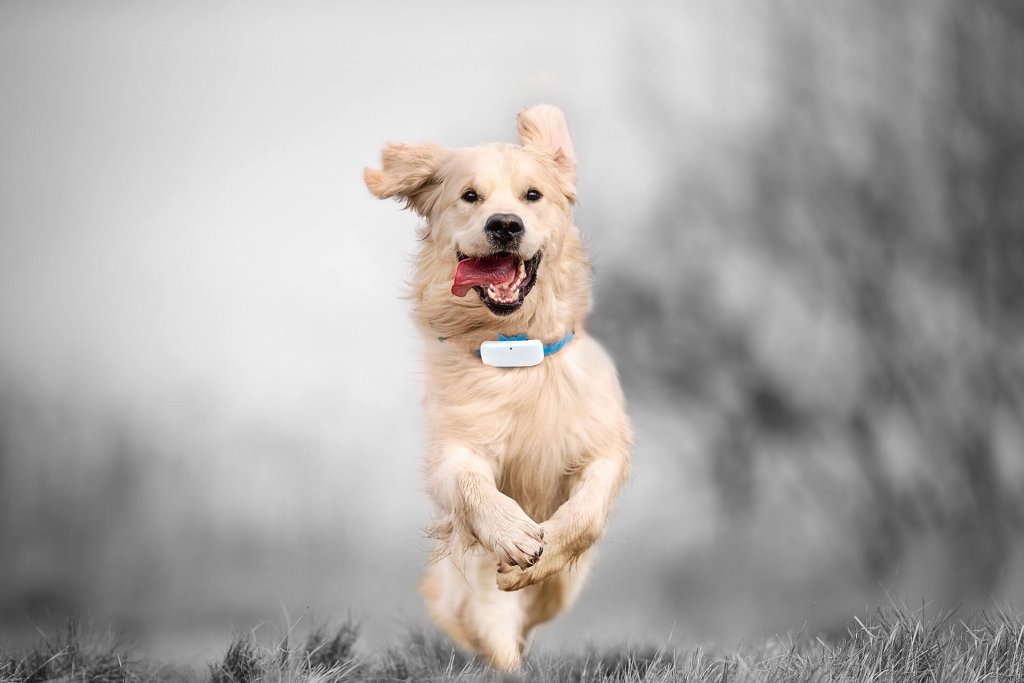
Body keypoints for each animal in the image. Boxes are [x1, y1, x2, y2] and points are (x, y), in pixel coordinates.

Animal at [364, 104, 626, 671]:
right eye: (470, 196)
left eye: (533, 195)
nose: (504, 224)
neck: (515, 351)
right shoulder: (454, 448)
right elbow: (470, 484)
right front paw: (512, 533)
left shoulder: (606, 444)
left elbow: (587, 512)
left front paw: (541, 553)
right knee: (488, 622)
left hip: (562, 592)